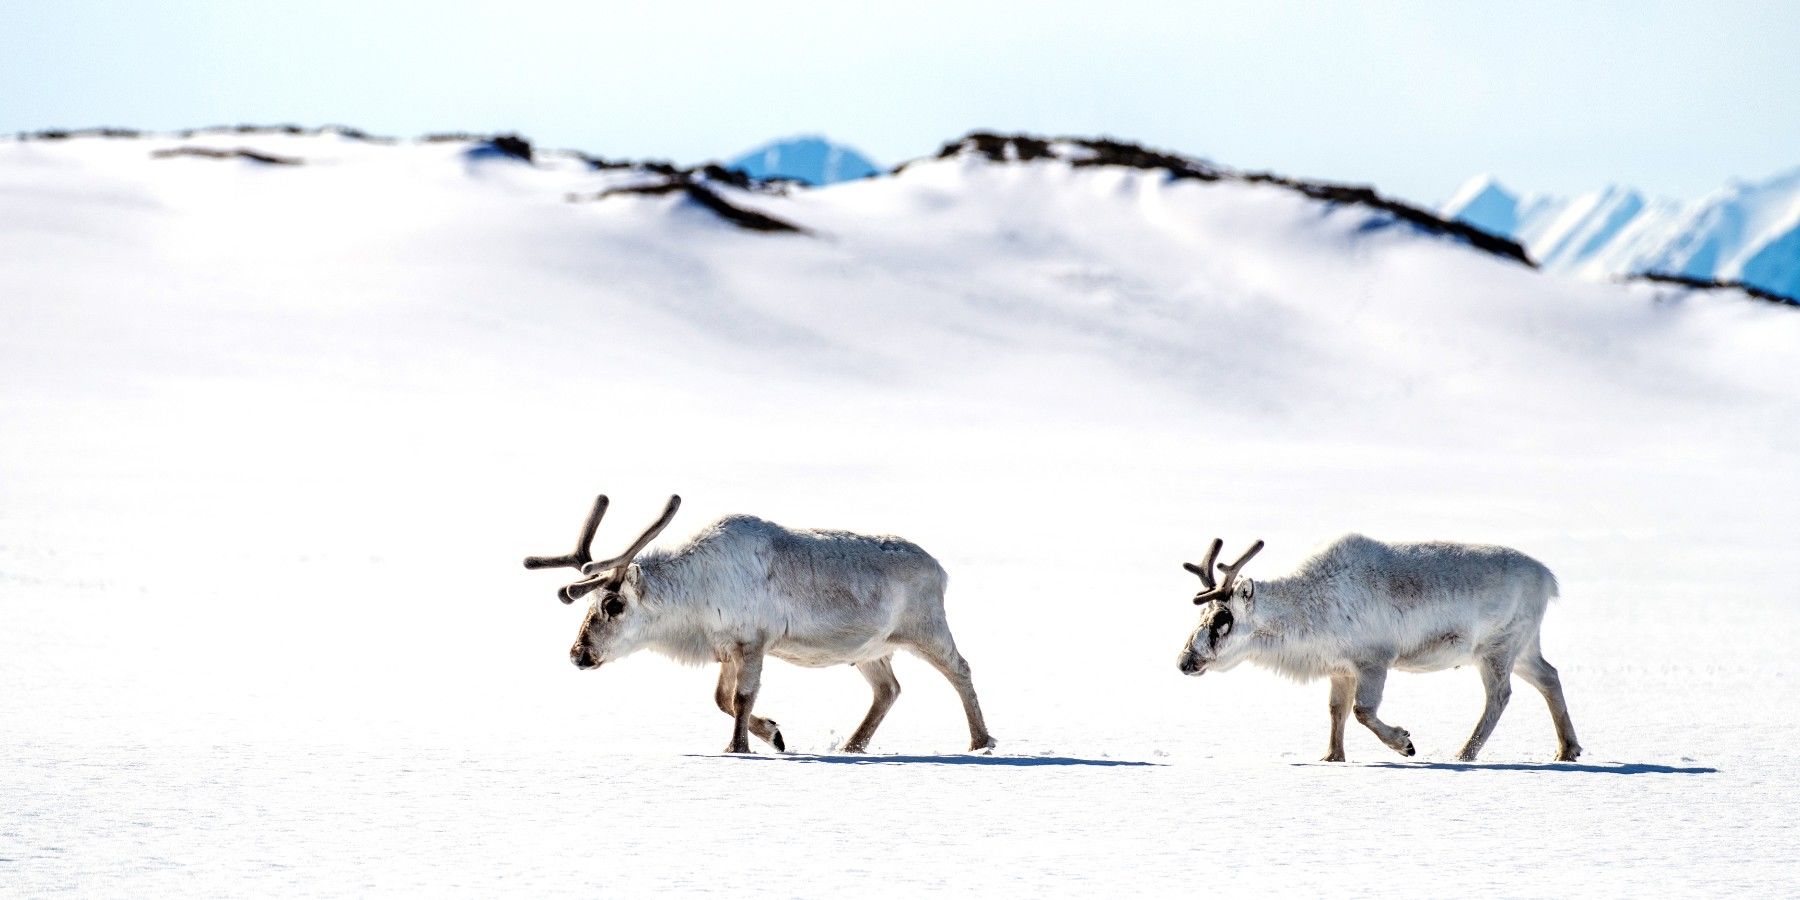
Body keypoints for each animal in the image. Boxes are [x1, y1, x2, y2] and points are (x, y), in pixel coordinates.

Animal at [525, 494, 997, 755]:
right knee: (889, 689)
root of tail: (941, 570)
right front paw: (774, 734)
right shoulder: (726, 649)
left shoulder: (754, 642)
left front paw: (738, 747)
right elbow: (721, 699)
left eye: (614, 603)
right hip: (870, 650)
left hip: (927, 628)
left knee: (961, 669)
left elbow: (742, 697)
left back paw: (981, 742)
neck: (694, 597)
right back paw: (852, 746)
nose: (578, 654)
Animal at [1175, 535, 1581, 763]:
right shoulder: (1339, 669)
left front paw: (1404, 743)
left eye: (1222, 619)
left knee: (1499, 695)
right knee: (1550, 676)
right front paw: (1332, 756)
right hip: (1524, 648)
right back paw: (1568, 749)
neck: (1307, 610)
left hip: (1497, 649)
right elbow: (1336, 711)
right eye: (1203, 614)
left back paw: (1465, 753)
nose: (1183, 661)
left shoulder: (1373, 661)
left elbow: (1362, 710)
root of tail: (1550, 579)